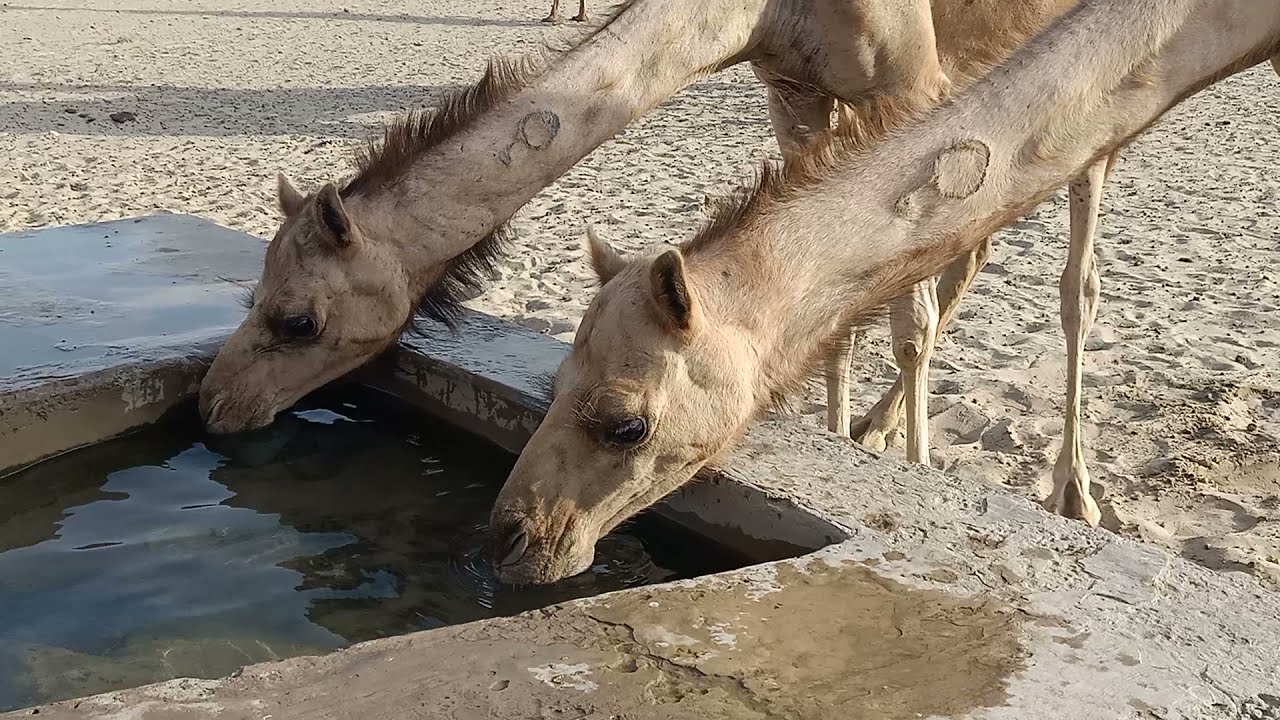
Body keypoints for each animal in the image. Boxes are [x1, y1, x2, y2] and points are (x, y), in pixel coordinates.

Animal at [488, 0, 1280, 585]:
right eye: (553, 383)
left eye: (628, 425)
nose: (511, 535)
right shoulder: (796, 90)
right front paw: (846, 436)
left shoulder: (909, 77)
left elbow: (914, 320)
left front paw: (919, 470)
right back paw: (874, 427)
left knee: (1074, 287)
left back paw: (1073, 493)